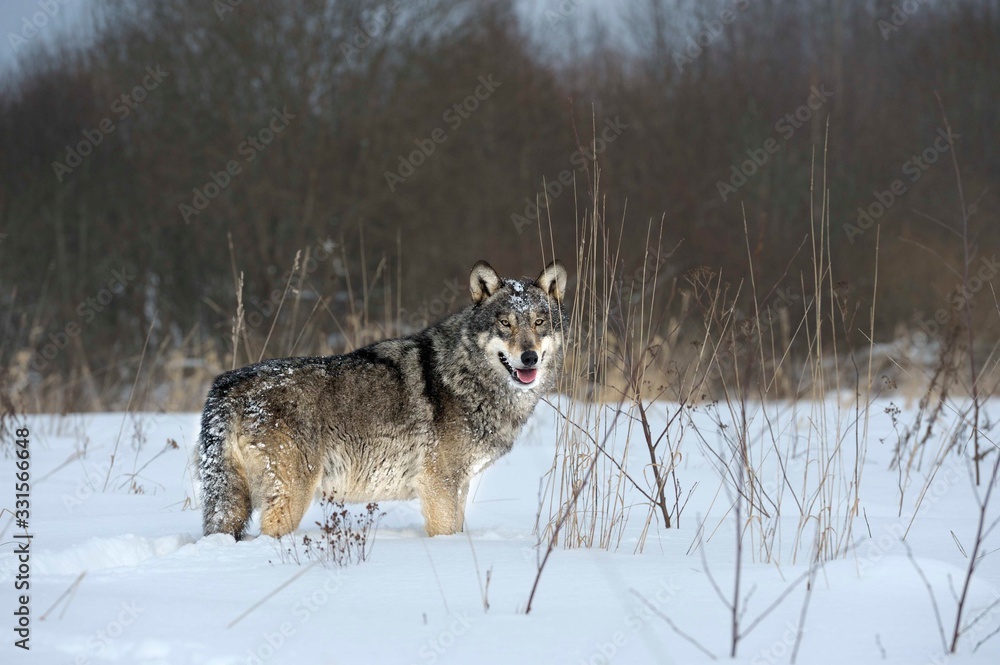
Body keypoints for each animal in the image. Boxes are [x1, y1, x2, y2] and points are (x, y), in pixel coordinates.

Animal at [198, 260, 568, 539]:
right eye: (505, 323)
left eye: (539, 322)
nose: (530, 357)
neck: (464, 375)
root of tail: (226, 384)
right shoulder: (439, 485)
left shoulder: (459, 486)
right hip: (291, 498)